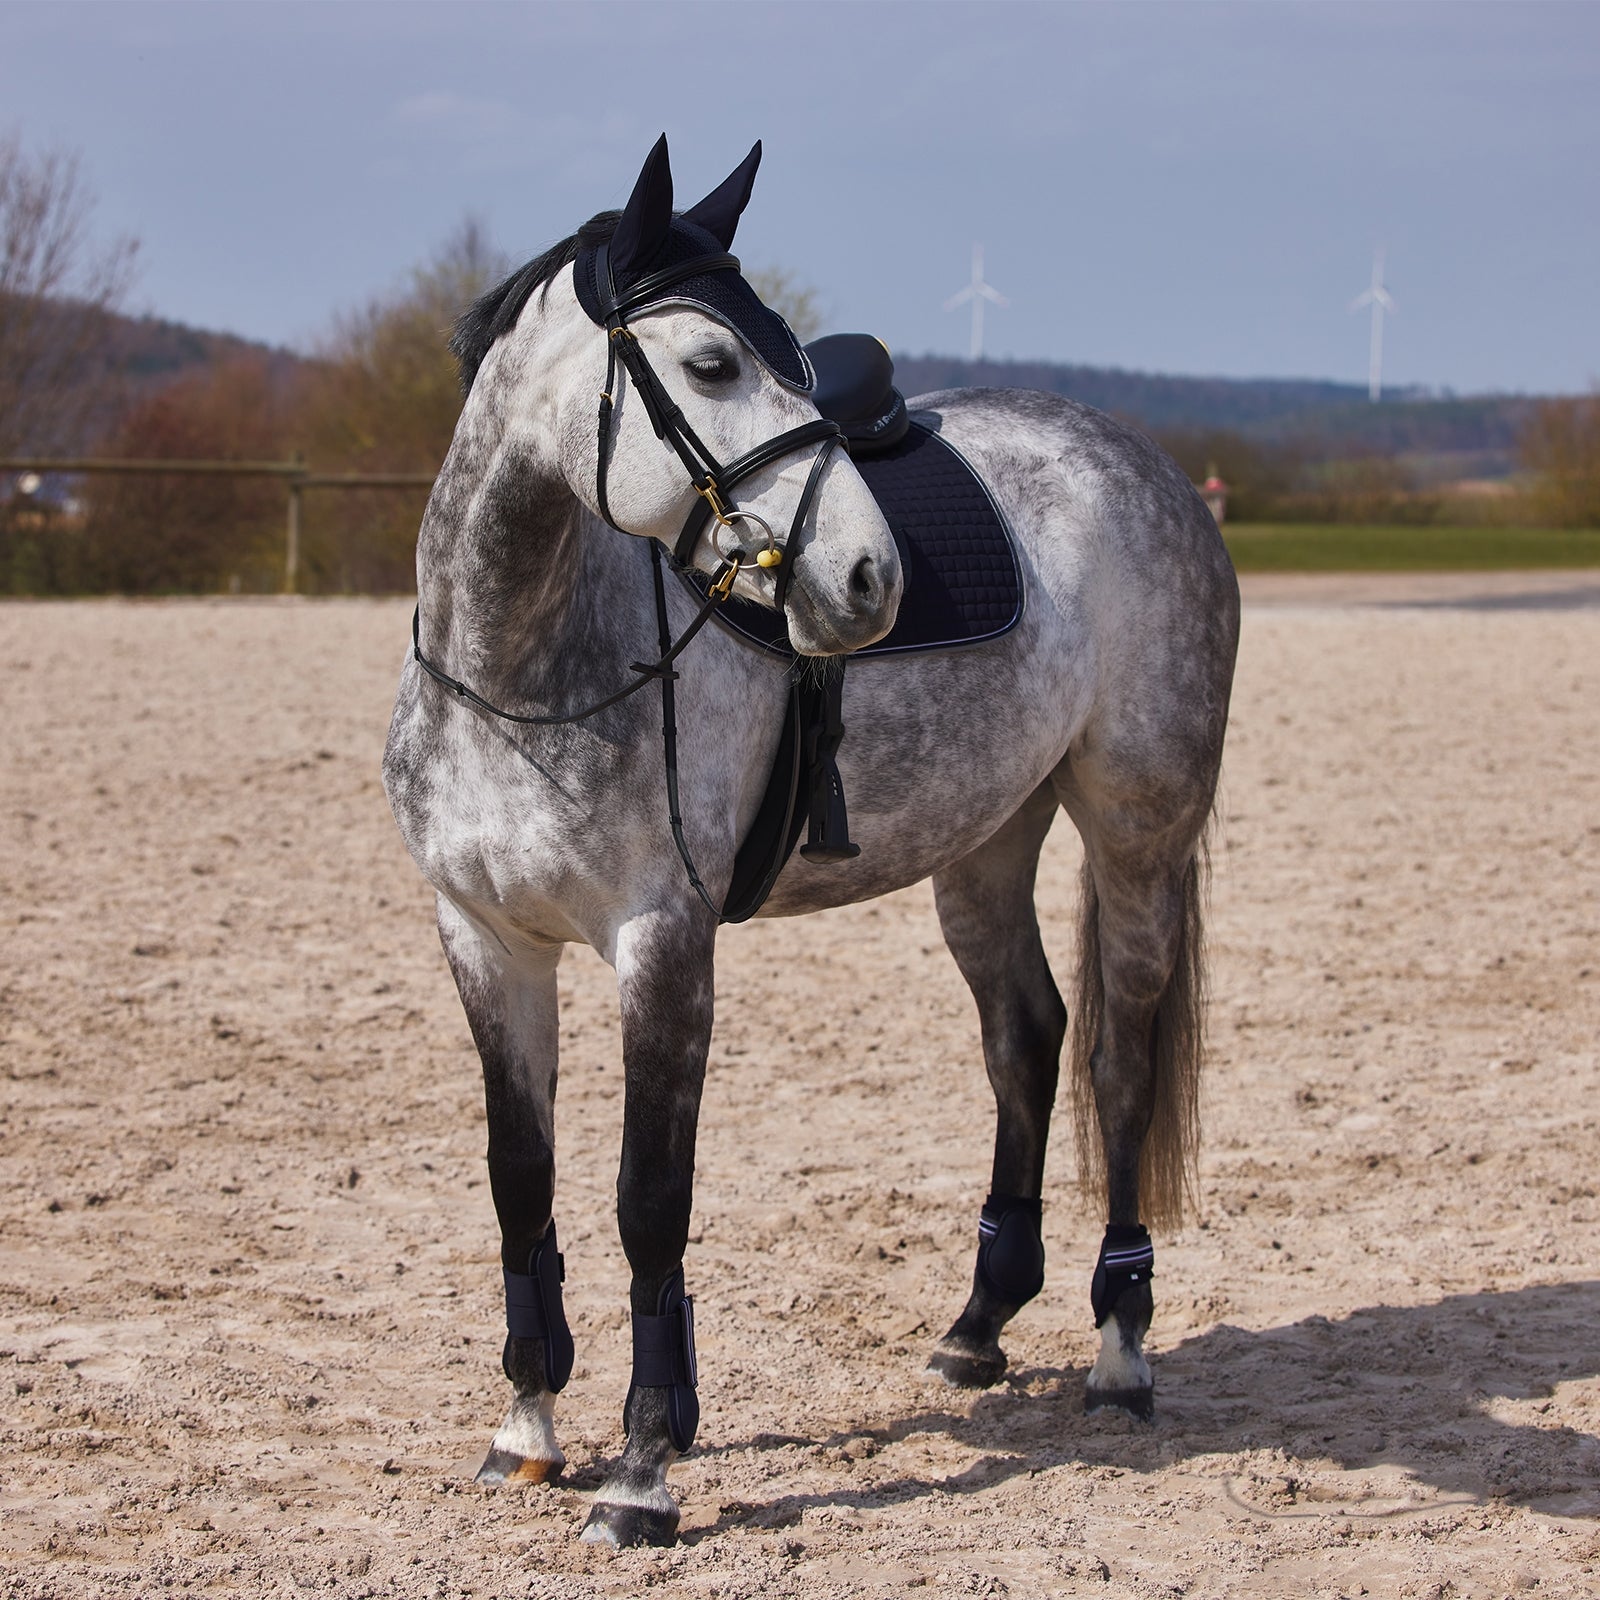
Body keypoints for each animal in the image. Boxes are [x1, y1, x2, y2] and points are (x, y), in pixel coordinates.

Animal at [382, 135, 1239, 1548]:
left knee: (1116, 1063)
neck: (524, 672)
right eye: (713, 364)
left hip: (1136, 835)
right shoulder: (487, 940)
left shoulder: (661, 945)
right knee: (1027, 1040)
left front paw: (642, 1468)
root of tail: (1142, 463)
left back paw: (1119, 1351)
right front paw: (527, 1429)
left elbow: (648, 1201)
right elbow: (521, 1182)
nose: (867, 580)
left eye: (789, 352)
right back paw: (976, 1325)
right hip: (983, 843)